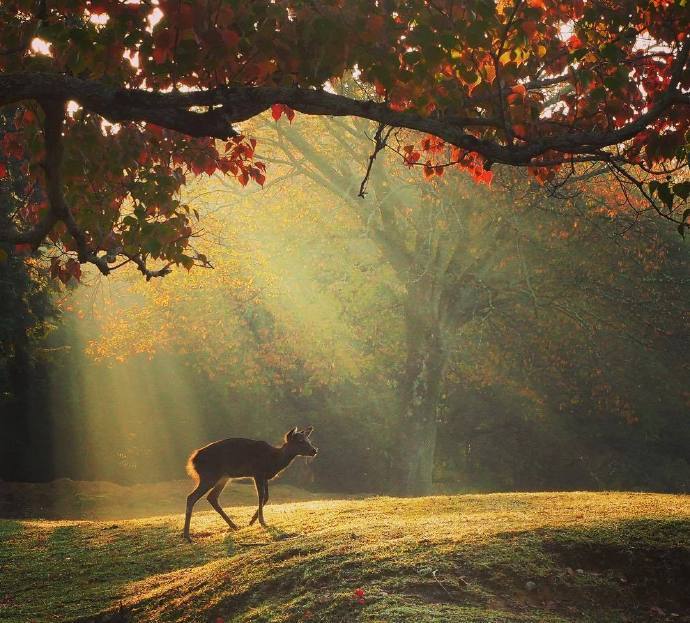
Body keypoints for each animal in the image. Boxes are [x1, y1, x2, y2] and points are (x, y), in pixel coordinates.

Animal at [183, 426, 317, 541]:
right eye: (300, 441)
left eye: (309, 440)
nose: (314, 450)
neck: (273, 461)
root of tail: (192, 461)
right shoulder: (257, 472)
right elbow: (261, 496)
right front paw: (262, 522)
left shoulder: (265, 477)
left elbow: (266, 497)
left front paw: (251, 521)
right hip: (209, 475)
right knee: (191, 497)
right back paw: (187, 535)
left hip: (223, 477)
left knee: (212, 497)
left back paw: (234, 526)